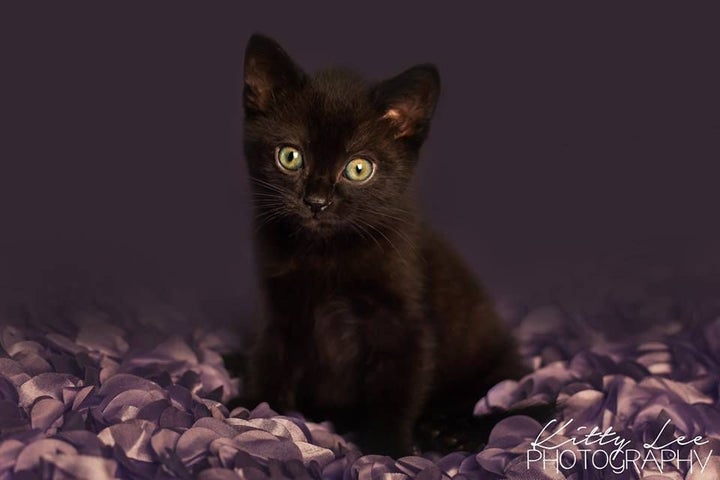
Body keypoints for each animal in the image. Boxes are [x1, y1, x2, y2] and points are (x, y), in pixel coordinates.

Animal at [239, 34, 524, 458]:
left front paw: (389, 450)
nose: (317, 201)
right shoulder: (280, 309)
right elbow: (271, 360)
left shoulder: (403, 323)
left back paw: (451, 432)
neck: (328, 254)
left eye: (358, 168)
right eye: (290, 157)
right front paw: (255, 417)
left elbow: (396, 389)